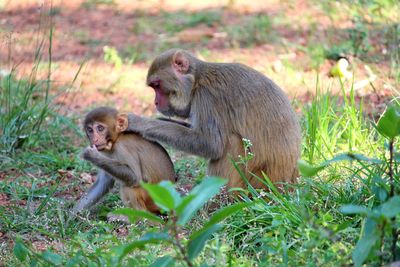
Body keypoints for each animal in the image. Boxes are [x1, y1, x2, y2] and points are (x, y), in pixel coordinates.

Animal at [126, 49, 300, 189]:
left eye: (157, 85)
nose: (155, 102)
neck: (196, 81)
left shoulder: (206, 97)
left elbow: (210, 144)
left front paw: (139, 123)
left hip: (258, 182)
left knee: (231, 142)